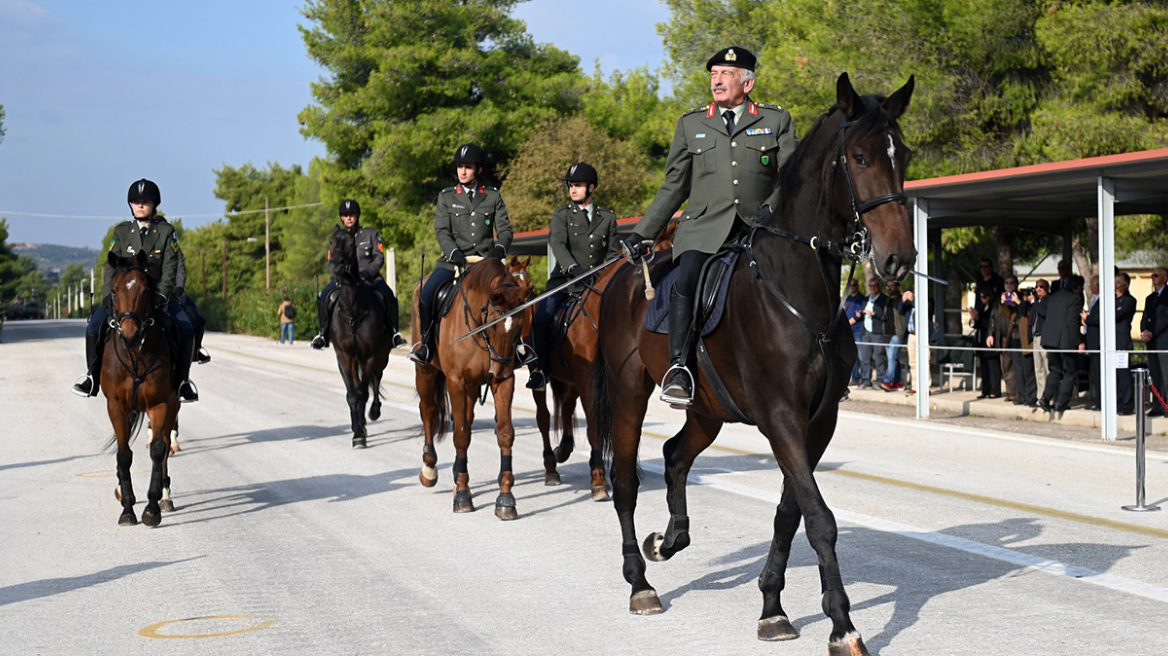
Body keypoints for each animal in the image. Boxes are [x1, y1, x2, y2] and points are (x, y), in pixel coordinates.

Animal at [101, 247, 178, 522]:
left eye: (145, 290)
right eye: (114, 290)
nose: (130, 334)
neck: (135, 353)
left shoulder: (161, 404)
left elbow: (157, 450)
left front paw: (152, 508)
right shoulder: (115, 406)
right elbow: (123, 454)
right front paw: (127, 508)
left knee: (164, 445)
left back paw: (165, 496)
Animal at [327, 227, 394, 445]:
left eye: (350, 244)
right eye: (331, 243)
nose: (336, 264)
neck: (353, 310)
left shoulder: (369, 356)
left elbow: (364, 392)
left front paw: (361, 431)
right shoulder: (344, 356)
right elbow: (352, 395)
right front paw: (357, 432)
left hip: (381, 357)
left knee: (376, 379)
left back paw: (373, 412)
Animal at [411, 255, 534, 515]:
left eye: (518, 325)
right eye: (494, 324)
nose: (500, 369)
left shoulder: (502, 382)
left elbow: (504, 432)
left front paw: (505, 498)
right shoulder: (456, 381)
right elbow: (460, 435)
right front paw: (463, 495)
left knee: (465, 418)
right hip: (425, 371)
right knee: (428, 410)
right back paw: (430, 469)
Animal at [593, 72, 911, 653]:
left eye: (905, 154)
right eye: (859, 157)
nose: (899, 258)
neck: (797, 290)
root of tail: (621, 274)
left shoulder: (818, 421)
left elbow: (791, 512)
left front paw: (772, 608)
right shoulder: (780, 416)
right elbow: (820, 518)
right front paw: (843, 625)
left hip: (709, 409)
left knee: (675, 455)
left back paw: (669, 539)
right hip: (629, 392)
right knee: (625, 480)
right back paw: (640, 583)